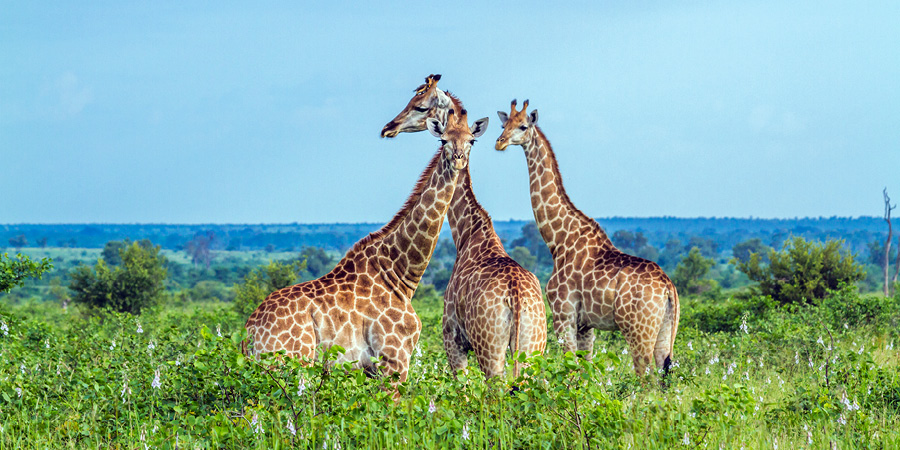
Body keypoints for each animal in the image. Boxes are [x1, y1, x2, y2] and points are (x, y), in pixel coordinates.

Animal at [244, 107, 486, 384]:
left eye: (471, 140)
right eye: (443, 140)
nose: (458, 160)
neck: (399, 274)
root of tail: (249, 332)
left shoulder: (370, 370)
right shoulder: (394, 359)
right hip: (290, 364)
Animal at [378, 75, 544, 378]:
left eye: (420, 106)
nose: (389, 128)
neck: (468, 233)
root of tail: (515, 297)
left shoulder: (452, 339)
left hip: (490, 350)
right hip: (533, 348)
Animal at [496, 99, 680, 376]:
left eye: (523, 126)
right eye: (503, 124)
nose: (500, 142)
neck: (558, 240)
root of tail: (669, 288)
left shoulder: (563, 315)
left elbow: (570, 369)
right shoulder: (586, 325)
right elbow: (585, 372)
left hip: (638, 330)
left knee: (646, 376)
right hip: (666, 331)